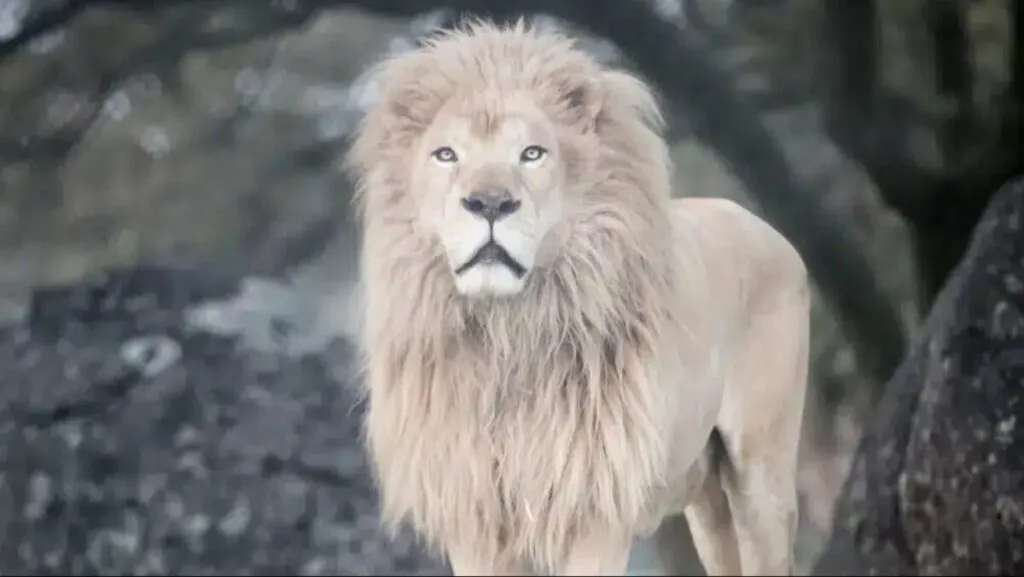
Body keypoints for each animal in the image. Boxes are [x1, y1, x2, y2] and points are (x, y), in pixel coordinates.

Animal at [346, 19, 810, 576]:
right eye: (446, 155)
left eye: (532, 153)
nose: (490, 203)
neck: (508, 334)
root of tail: (771, 231)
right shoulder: (474, 516)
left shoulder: (594, 510)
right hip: (704, 496)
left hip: (760, 474)